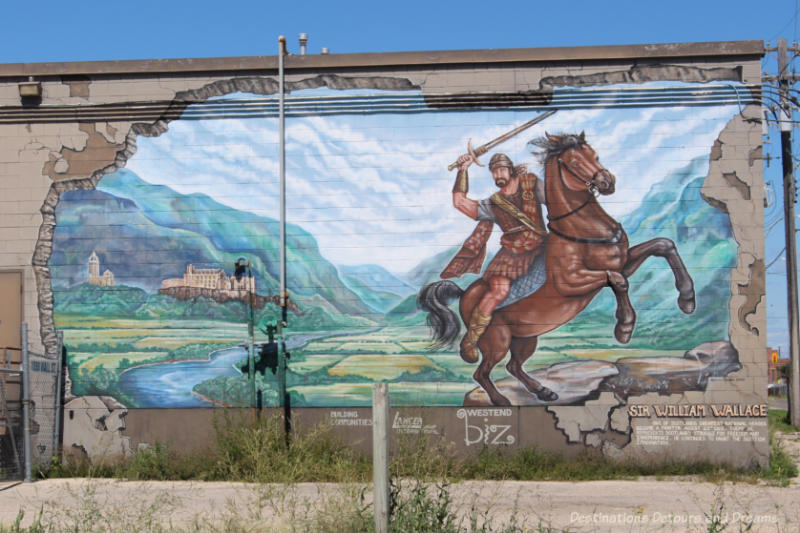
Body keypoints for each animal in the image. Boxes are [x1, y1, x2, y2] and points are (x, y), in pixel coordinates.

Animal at [418, 132, 692, 404]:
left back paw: (543, 390)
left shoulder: (623, 262)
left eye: (595, 155)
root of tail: (465, 294)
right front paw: (624, 328)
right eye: (574, 161)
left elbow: (663, 245)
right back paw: (496, 393)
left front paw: (687, 299)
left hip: (526, 337)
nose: (607, 181)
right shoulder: (571, 282)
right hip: (497, 341)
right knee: (481, 372)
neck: (582, 230)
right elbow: (617, 280)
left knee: (513, 366)